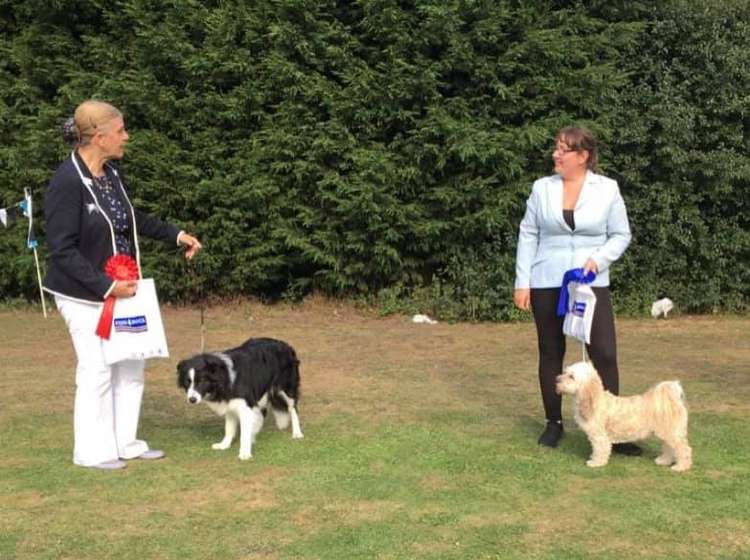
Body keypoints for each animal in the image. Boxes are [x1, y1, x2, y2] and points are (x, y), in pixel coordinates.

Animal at [560, 360, 692, 470]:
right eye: (565, 372)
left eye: (571, 376)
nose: (557, 380)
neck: (595, 400)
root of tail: (674, 401)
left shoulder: (599, 435)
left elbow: (600, 449)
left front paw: (596, 462)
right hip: (667, 433)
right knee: (669, 448)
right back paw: (663, 461)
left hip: (673, 434)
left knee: (684, 449)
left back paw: (681, 466)